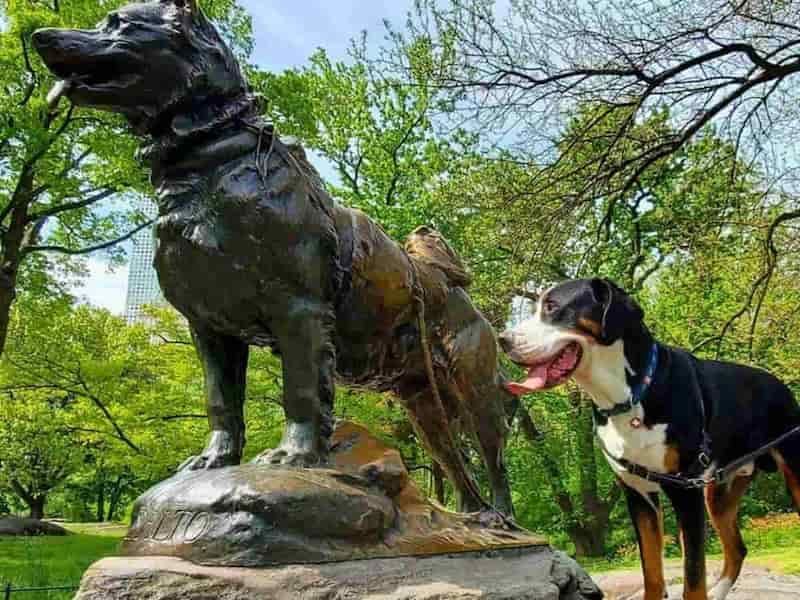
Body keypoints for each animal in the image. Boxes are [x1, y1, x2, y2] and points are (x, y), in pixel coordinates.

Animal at [32, 0, 512, 516]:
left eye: (118, 23)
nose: (40, 36)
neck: (211, 166)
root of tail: (460, 292)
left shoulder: (298, 311)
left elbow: (300, 391)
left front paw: (294, 456)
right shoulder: (209, 327)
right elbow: (220, 400)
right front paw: (214, 459)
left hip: (474, 389)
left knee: (492, 454)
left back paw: (503, 517)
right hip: (422, 402)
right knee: (454, 461)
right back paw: (472, 516)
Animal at [500, 280, 800, 600]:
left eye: (552, 306)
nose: (503, 339)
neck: (628, 399)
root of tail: (780, 385)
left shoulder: (685, 492)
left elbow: (693, 578)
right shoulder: (638, 494)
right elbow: (652, 573)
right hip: (718, 494)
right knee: (737, 549)